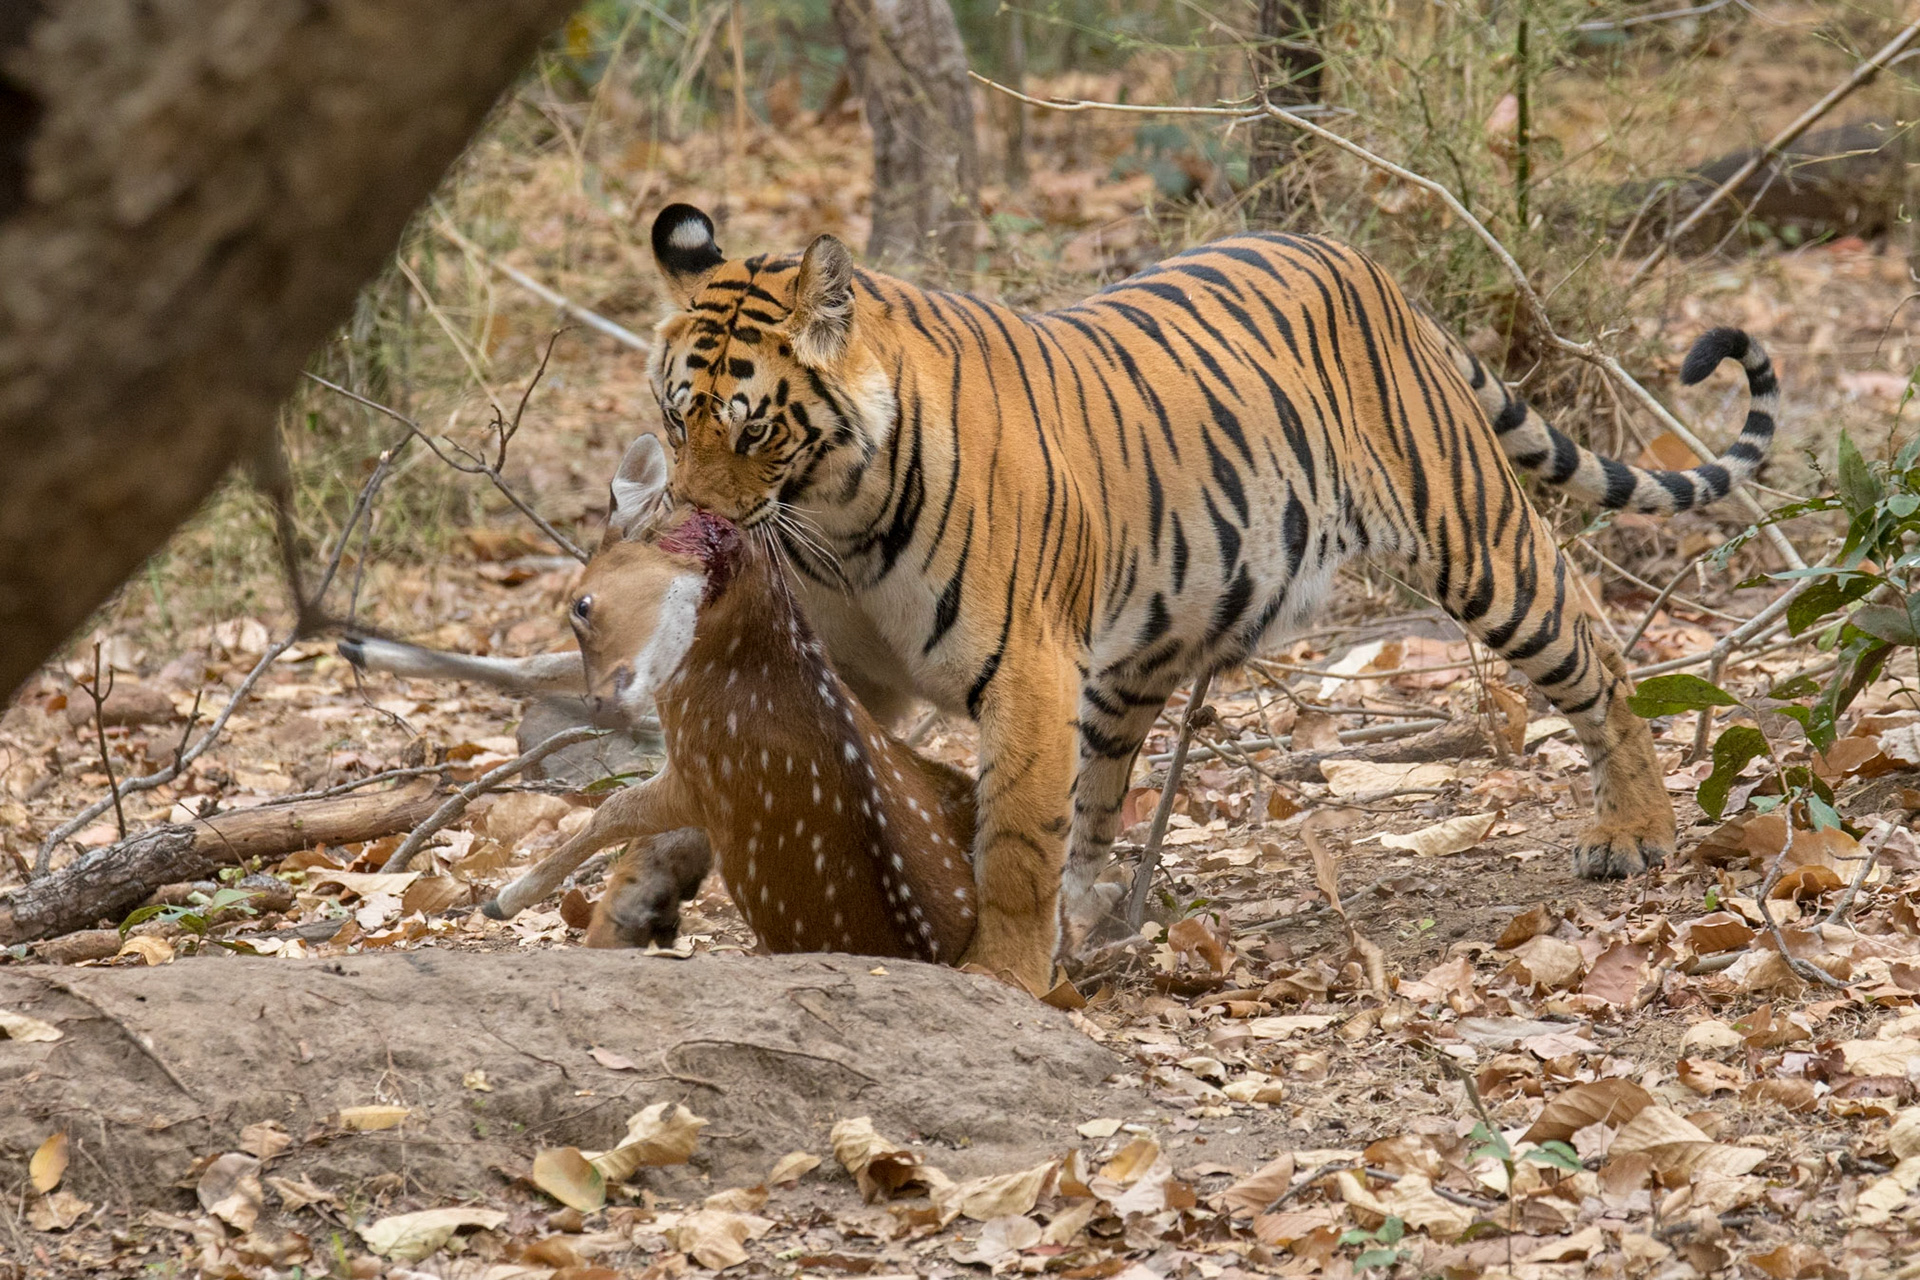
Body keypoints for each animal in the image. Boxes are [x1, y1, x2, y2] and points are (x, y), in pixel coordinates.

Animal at [341, 437, 975, 959]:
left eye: (581, 603)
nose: (601, 705)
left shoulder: (702, 778)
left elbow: (613, 809)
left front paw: (502, 898)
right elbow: (534, 666)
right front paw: (361, 647)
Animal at [637, 202, 1774, 990]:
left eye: (751, 427)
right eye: (672, 416)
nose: (687, 520)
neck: (836, 516)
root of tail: (1365, 265)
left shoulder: (1027, 670)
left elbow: (1014, 842)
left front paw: (1002, 976)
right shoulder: (847, 669)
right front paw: (647, 894)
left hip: (1477, 539)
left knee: (1594, 649)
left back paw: (1635, 829)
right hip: (1142, 648)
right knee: (1100, 796)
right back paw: (1098, 920)